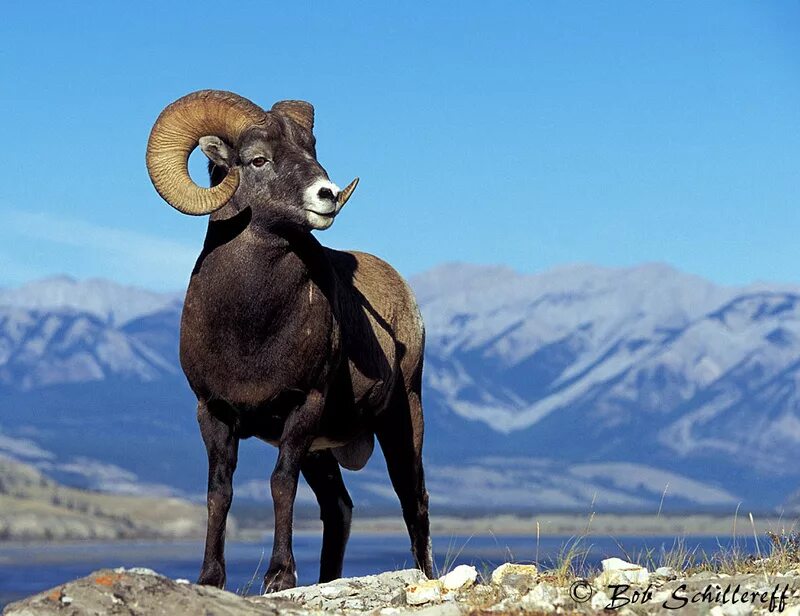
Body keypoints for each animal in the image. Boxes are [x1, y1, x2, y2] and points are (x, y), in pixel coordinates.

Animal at [144, 90, 432, 592]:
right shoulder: (213, 413)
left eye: (311, 151)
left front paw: (280, 577)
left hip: (401, 419)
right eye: (258, 160)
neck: (249, 328)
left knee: (413, 501)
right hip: (325, 451)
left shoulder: (303, 406)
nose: (327, 196)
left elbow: (281, 484)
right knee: (339, 509)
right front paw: (210, 578)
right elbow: (219, 492)